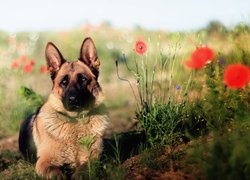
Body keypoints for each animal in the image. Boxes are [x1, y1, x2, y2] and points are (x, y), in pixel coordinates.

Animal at [18, 37, 108, 178]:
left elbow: (83, 169)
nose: (73, 99)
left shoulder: (94, 158)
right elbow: (55, 172)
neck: (76, 121)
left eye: (83, 79)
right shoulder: (43, 162)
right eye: (63, 82)